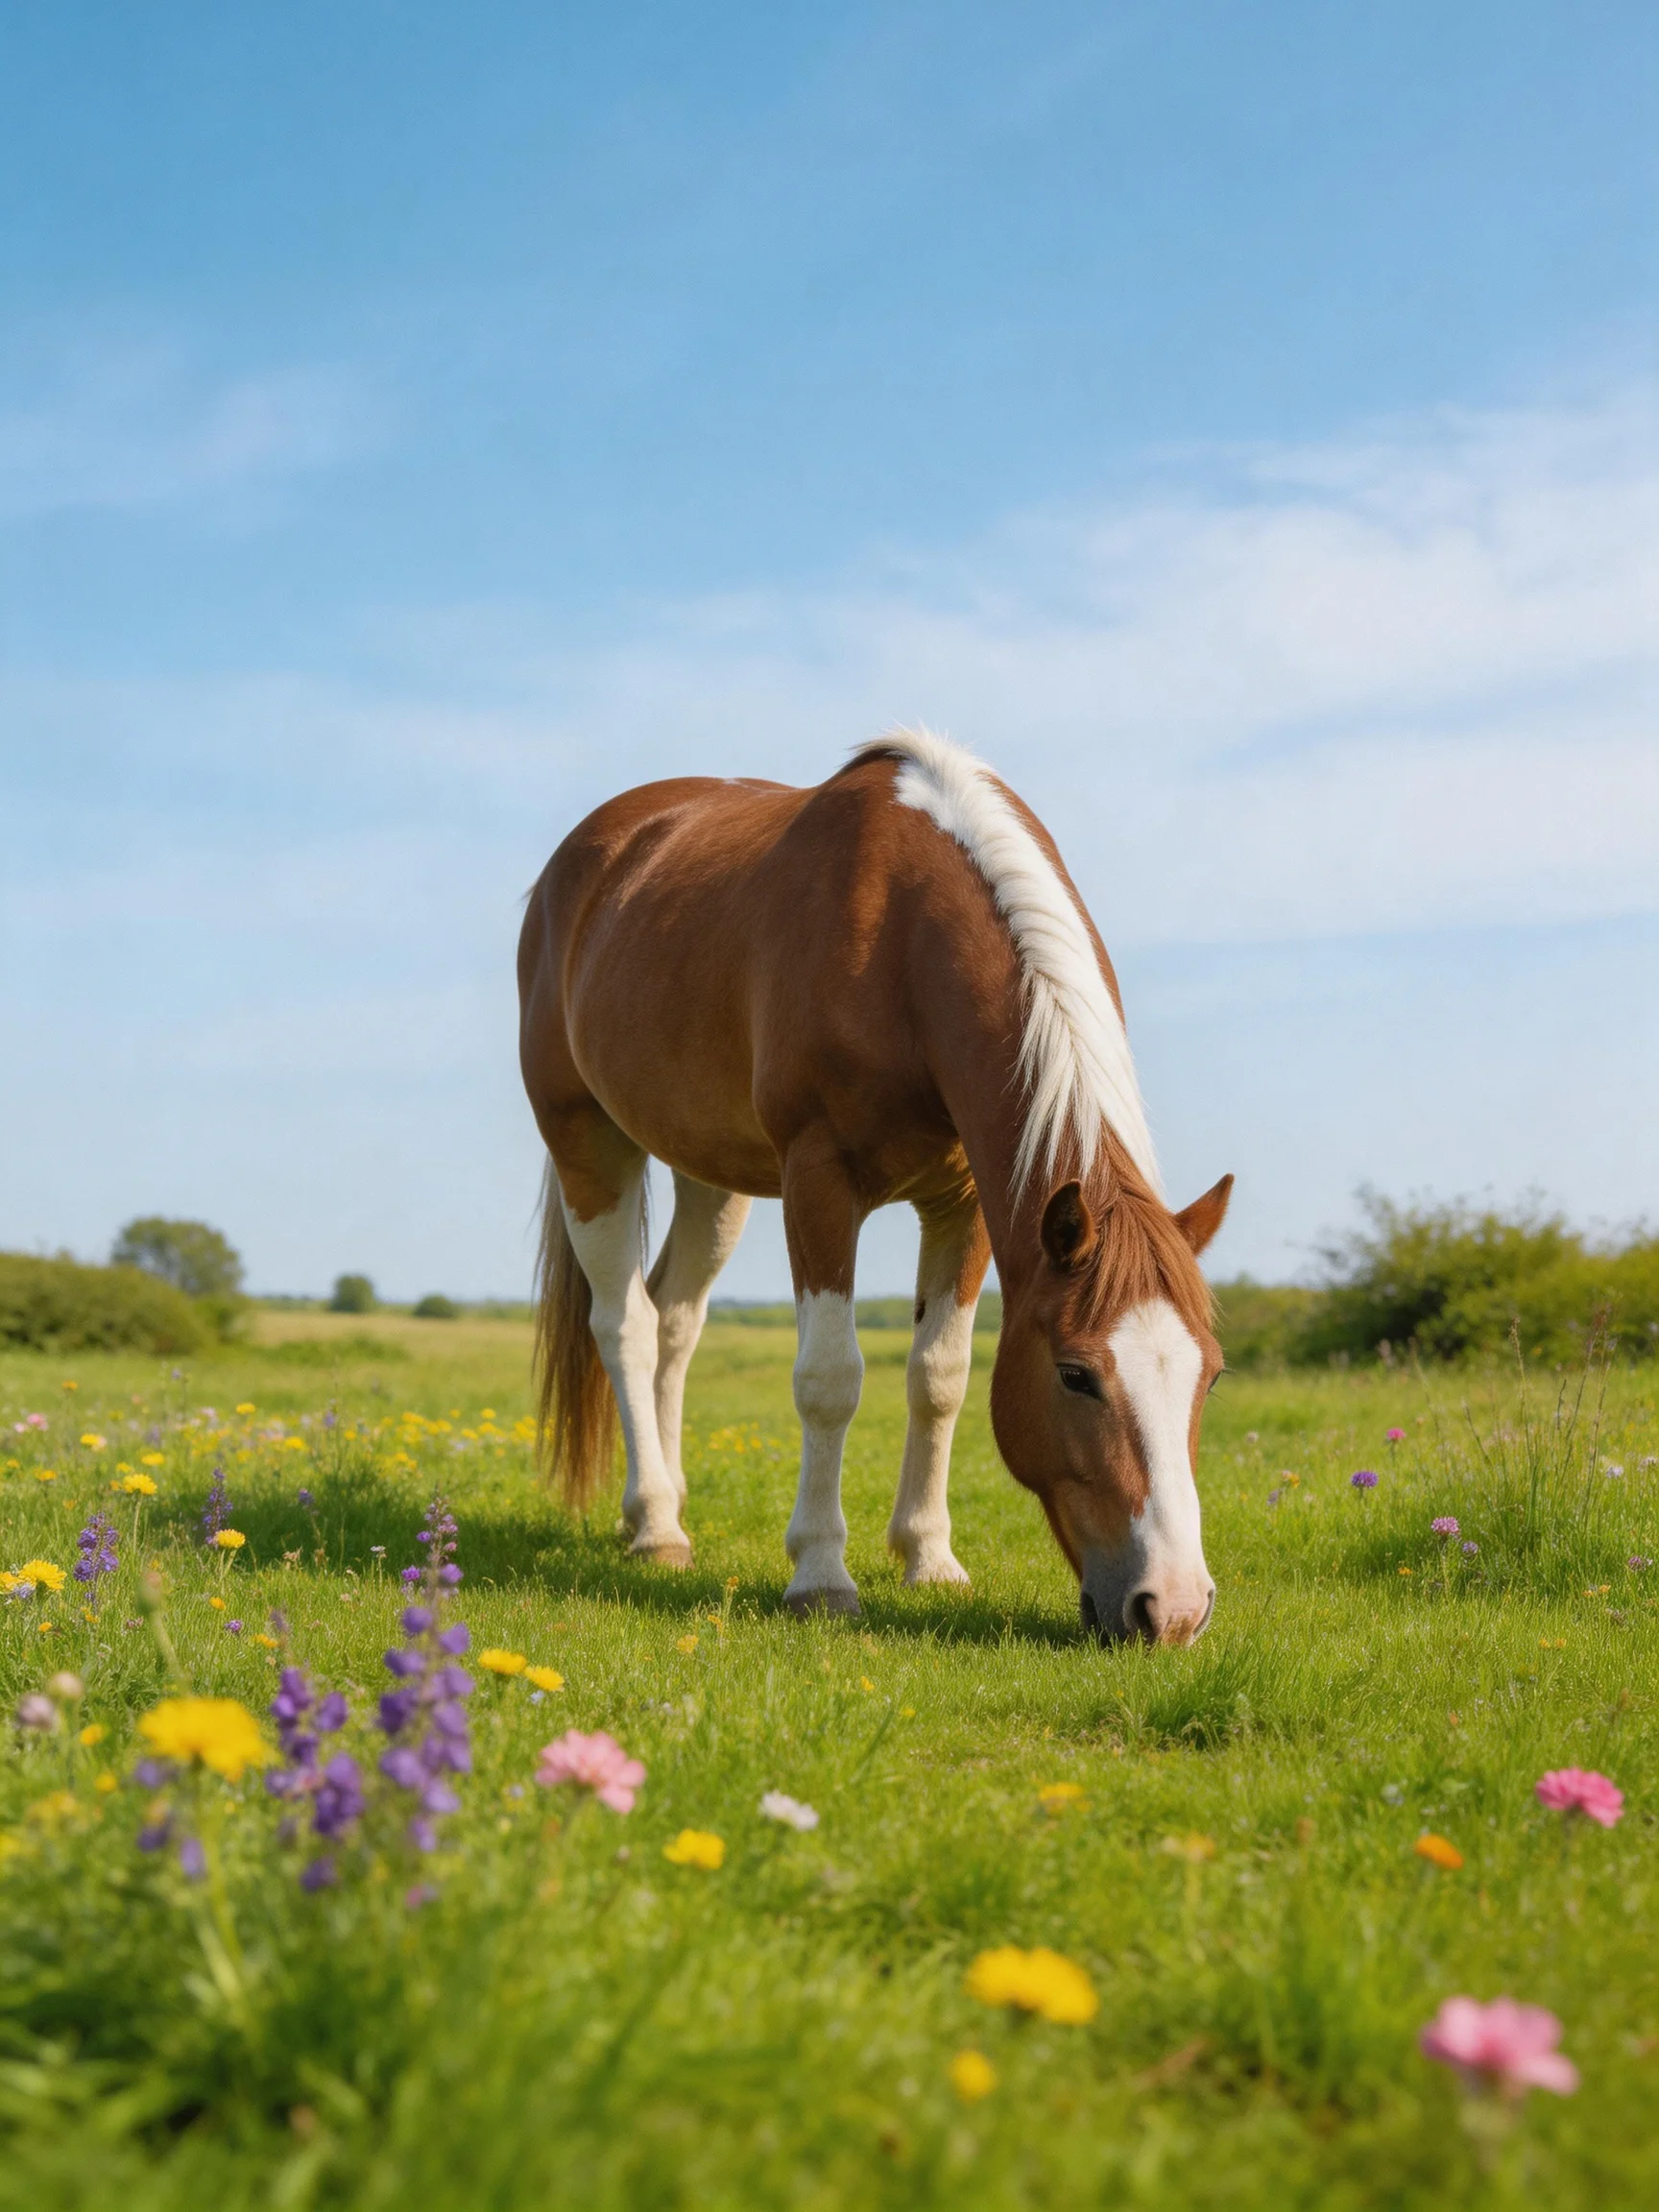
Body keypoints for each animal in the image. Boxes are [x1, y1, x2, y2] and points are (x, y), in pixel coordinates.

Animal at [517, 728, 1233, 1645]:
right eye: (1075, 1375)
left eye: (1211, 1375)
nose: (1172, 1608)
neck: (901, 939)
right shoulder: (820, 1182)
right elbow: (830, 1381)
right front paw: (822, 1574)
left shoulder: (966, 1206)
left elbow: (941, 1377)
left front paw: (929, 1557)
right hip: (586, 1144)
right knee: (626, 1325)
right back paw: (653, 1527)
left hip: (710, 1175)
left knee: (674, 1319)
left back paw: (662, 1514)